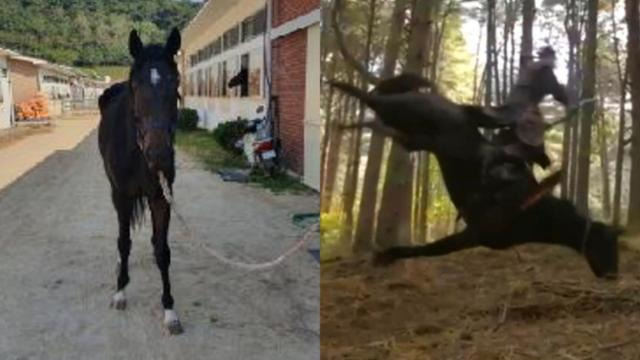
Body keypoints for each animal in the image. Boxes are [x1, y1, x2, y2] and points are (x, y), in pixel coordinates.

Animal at [98, 28, 182, 334]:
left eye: (176, 81)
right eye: (136, 85)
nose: (159, 155)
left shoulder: (161, 197)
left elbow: (162, 250)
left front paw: (169, 309)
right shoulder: (121, 196)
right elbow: (124, 242)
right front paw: (120, 291)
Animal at [332, 78, 624, 278]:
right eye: (606, 244)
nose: (613, 275)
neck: (532, 211)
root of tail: (450, 104)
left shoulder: (473, 237)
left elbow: (427, 250)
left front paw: (386, 256)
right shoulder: (473, 233)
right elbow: (424, 249)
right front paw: (386, 255)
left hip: (411, 137)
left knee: (379, 119)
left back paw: (348, 122)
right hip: (404, 113)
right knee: (373, 98)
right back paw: (339, 87)